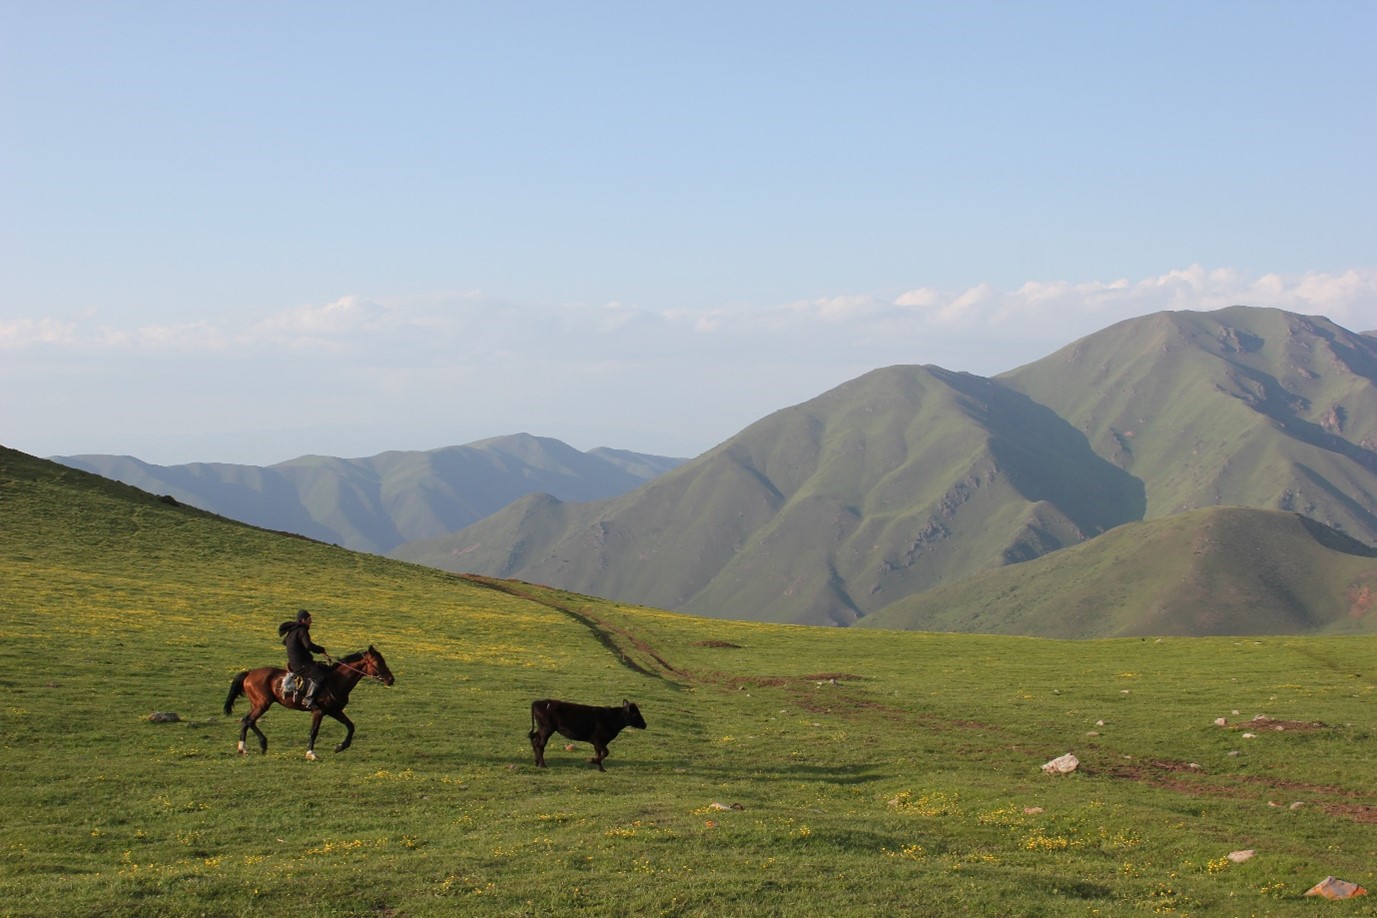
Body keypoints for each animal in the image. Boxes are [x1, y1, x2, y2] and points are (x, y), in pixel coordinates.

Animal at [220, 646, 393, 759]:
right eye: (379, 662)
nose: (391, 679)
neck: (336, 680)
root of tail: (249, 673)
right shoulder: (318, 711)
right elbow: (313, 732)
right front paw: (311, 753)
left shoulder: (335, 711)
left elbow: (351, 727)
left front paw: (340, 747)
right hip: (262, 704)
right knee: (248, 720)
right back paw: (257, 745)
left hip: (258, 704)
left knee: (247, 720)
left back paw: (248, 747)